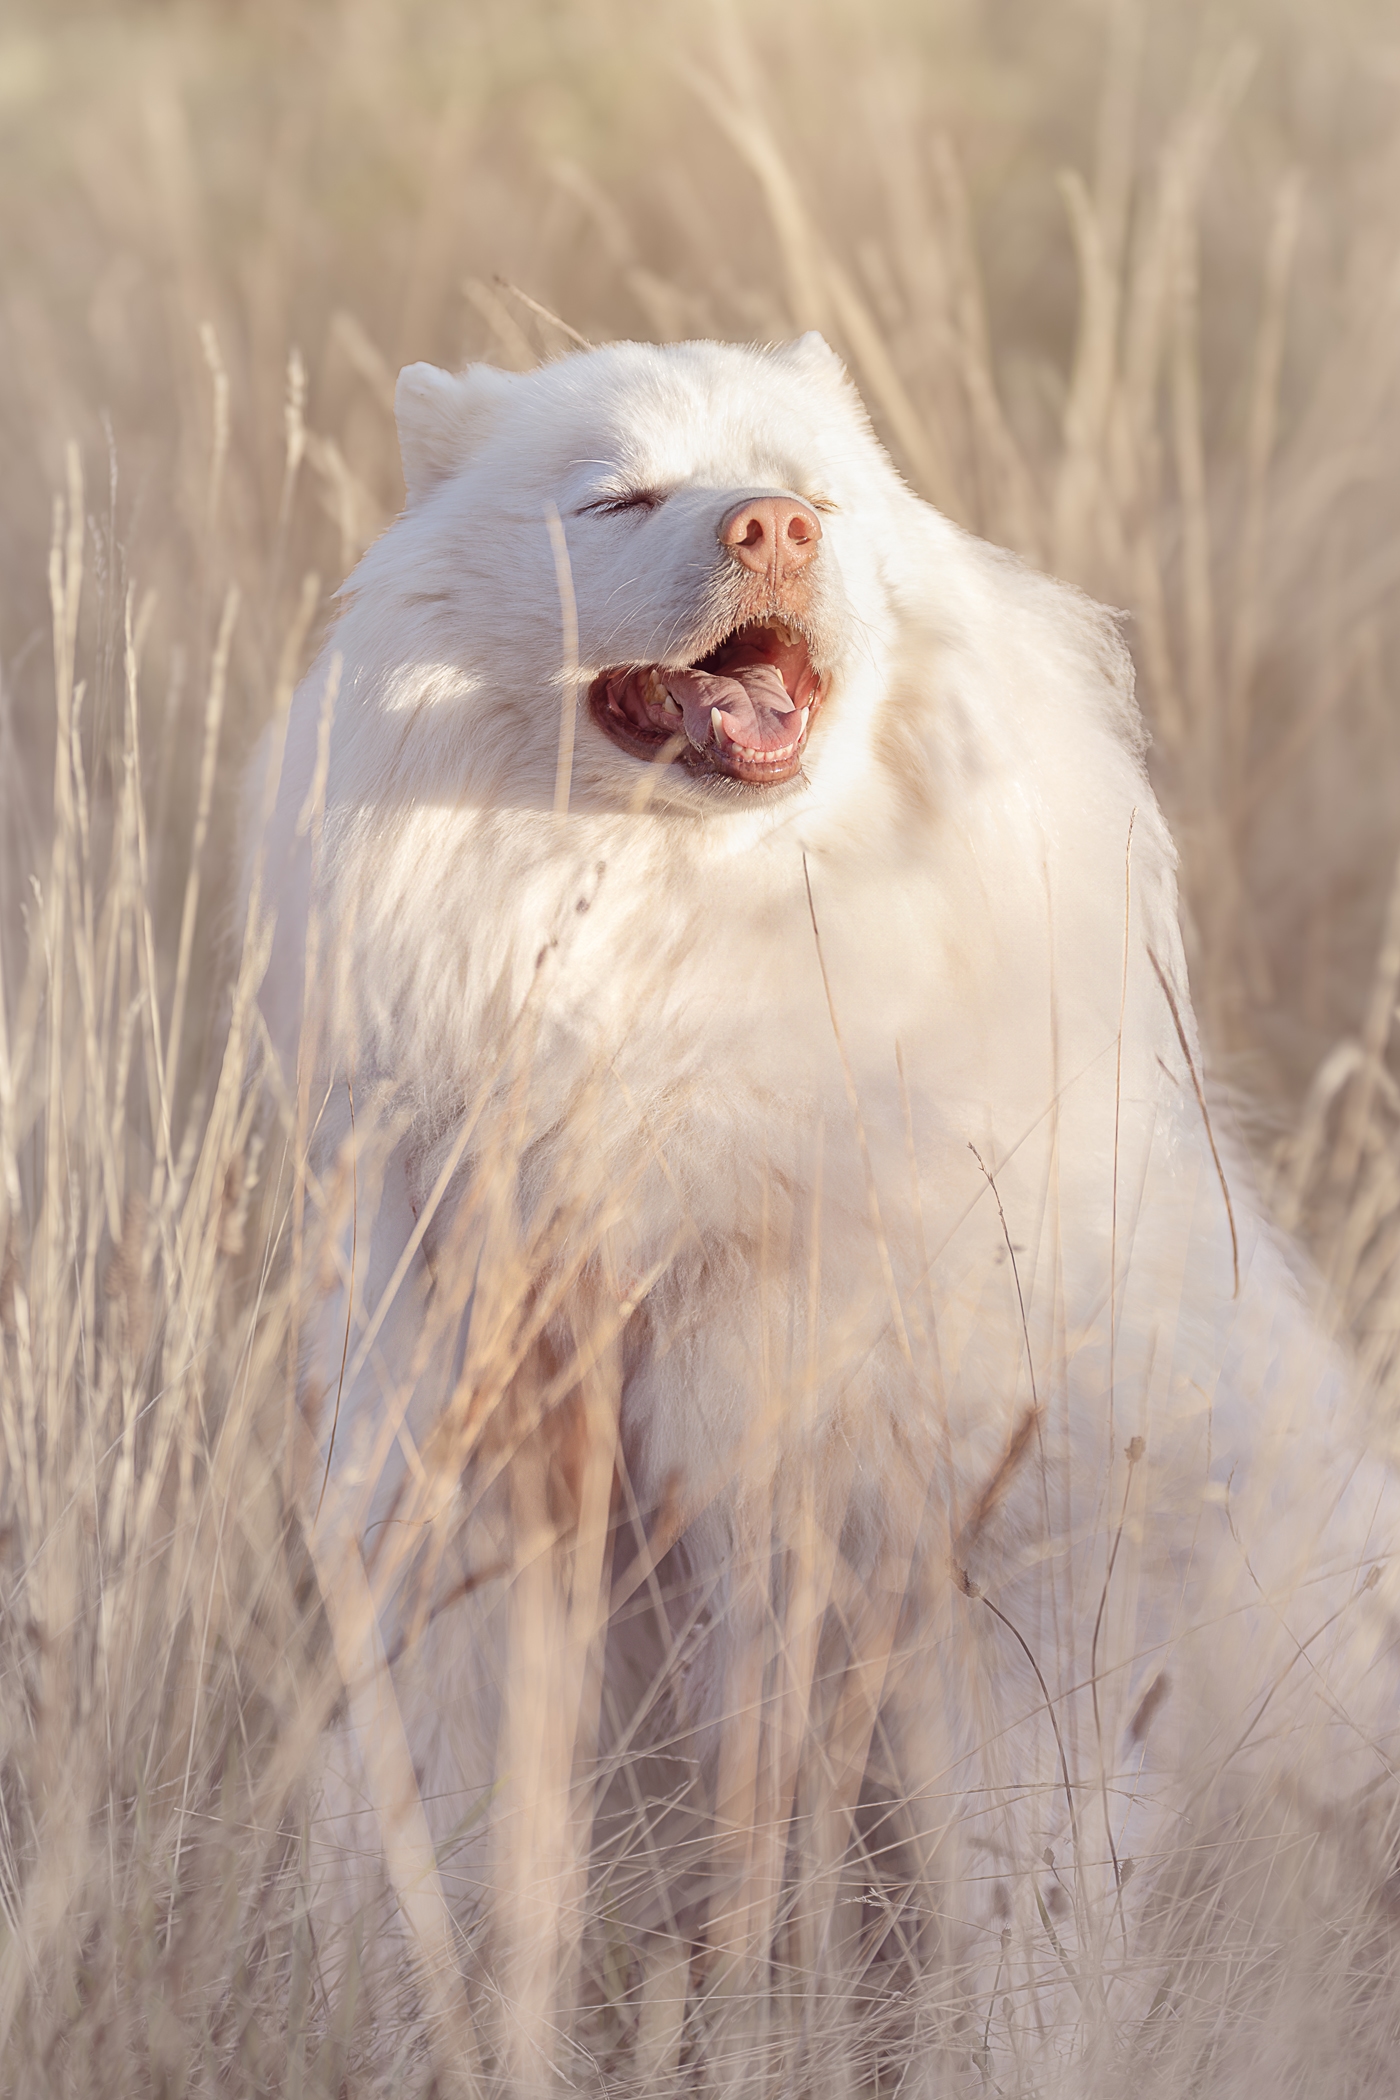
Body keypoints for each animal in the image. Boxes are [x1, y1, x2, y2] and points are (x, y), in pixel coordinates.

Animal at [248, 336, 1400, 2091]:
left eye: (818, 498)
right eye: (622, 498)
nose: (774, 528)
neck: (695, 981)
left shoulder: (966, 1591)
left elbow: (1014, 1935)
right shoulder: (491, 1537)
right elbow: (464, 1875)